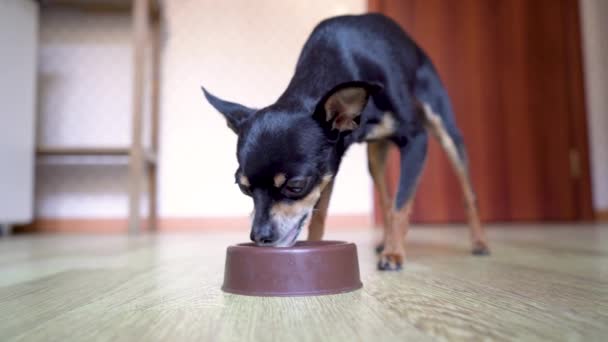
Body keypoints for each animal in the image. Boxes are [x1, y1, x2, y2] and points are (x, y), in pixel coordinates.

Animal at [202, 12, 486, 270]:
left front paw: (394, 254)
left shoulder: (416, 141)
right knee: (384, 196)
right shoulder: (329, 167)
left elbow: (401, 204)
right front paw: (316, 248)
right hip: (375, 158)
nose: (259, 236)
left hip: (444, 126)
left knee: (468, 192)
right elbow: (319, 216)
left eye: (295, 186)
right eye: (243, 188)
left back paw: (479, 242)